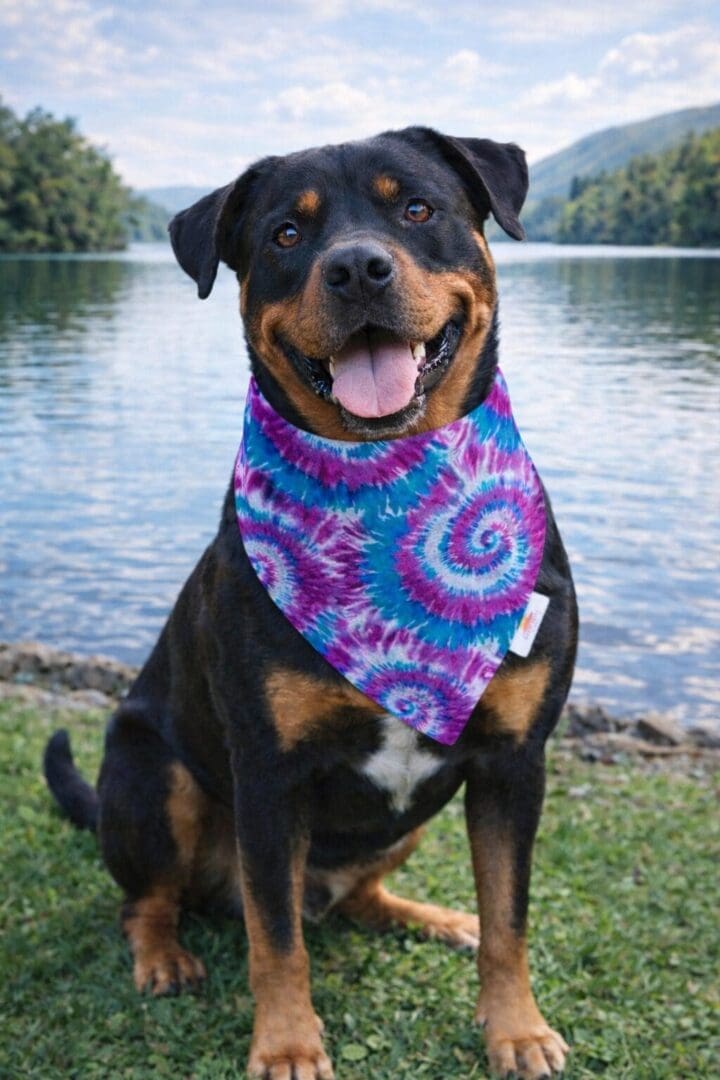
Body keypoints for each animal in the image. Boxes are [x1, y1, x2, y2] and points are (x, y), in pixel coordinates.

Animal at [44, 126, 578, 1079]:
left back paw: (432, 917)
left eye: (417, 208)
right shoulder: (269, 774)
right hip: (152, 774)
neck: (388, 487)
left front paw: (515, 1028)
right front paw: (288, 1045)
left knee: (363, 895)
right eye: (287, 235)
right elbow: (276, 936)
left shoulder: (515, 761)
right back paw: (163, 954)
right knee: (152, 898)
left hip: (401, 827)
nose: (358, 267)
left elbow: (509, 915)